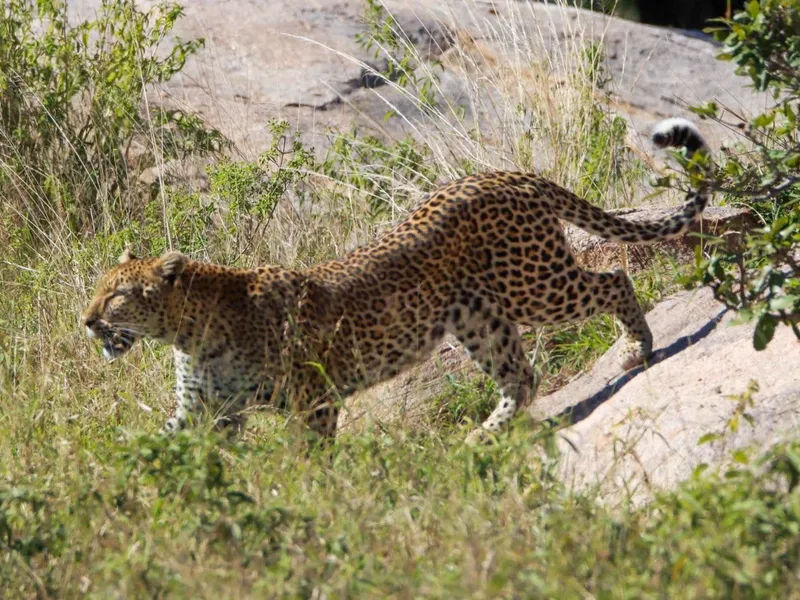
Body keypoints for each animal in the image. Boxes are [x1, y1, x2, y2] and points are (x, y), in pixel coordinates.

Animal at [82, 118, 709, 443]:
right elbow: (155, 455)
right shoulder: (202, 413)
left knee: (614, 277)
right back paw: (483, 436)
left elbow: (310, 460)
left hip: (535, 284)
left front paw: (313, 499)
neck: (188, 333)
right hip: (479, 318)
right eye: (96, 291)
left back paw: (636, 349)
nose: (86, 322)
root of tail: (509, 174)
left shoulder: (312, 400)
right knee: (521, 374)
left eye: (117, 296)